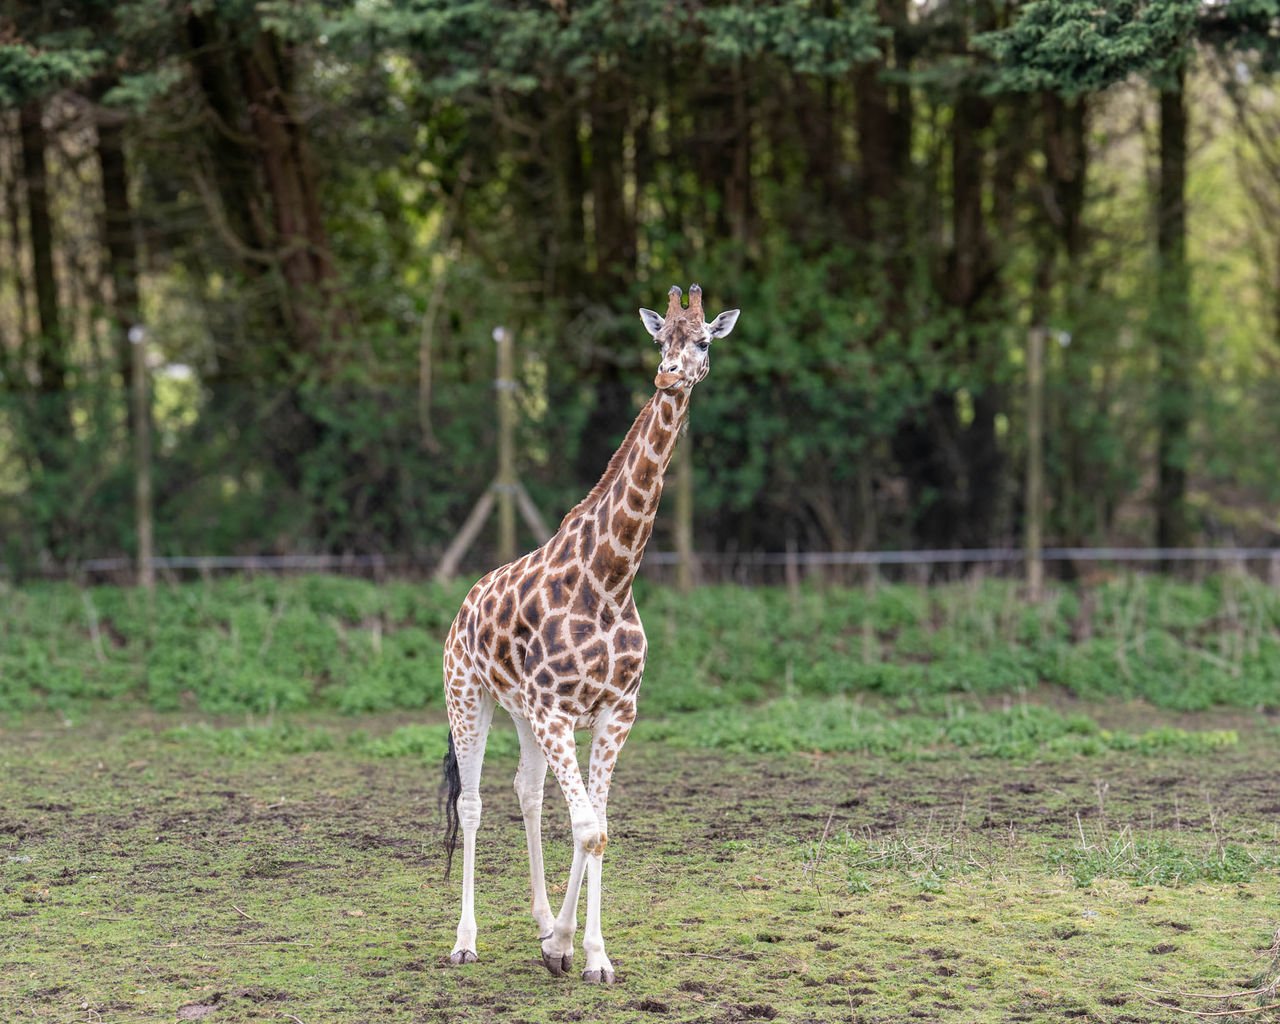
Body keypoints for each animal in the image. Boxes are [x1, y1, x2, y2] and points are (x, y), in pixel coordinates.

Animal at [440, 284, 740, 983]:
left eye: (703, 340)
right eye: (660, 339)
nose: (670, 374)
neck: (611, 580)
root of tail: (465, 603)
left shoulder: (613, 711)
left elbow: (596, 824)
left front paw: (579, 949)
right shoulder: (556, 710)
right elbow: (584, 825)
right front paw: (568, 945)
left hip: (520, 711)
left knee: (526, 793)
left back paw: (542, 919)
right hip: (469, 696)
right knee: (473, 803)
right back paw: (465, 940)